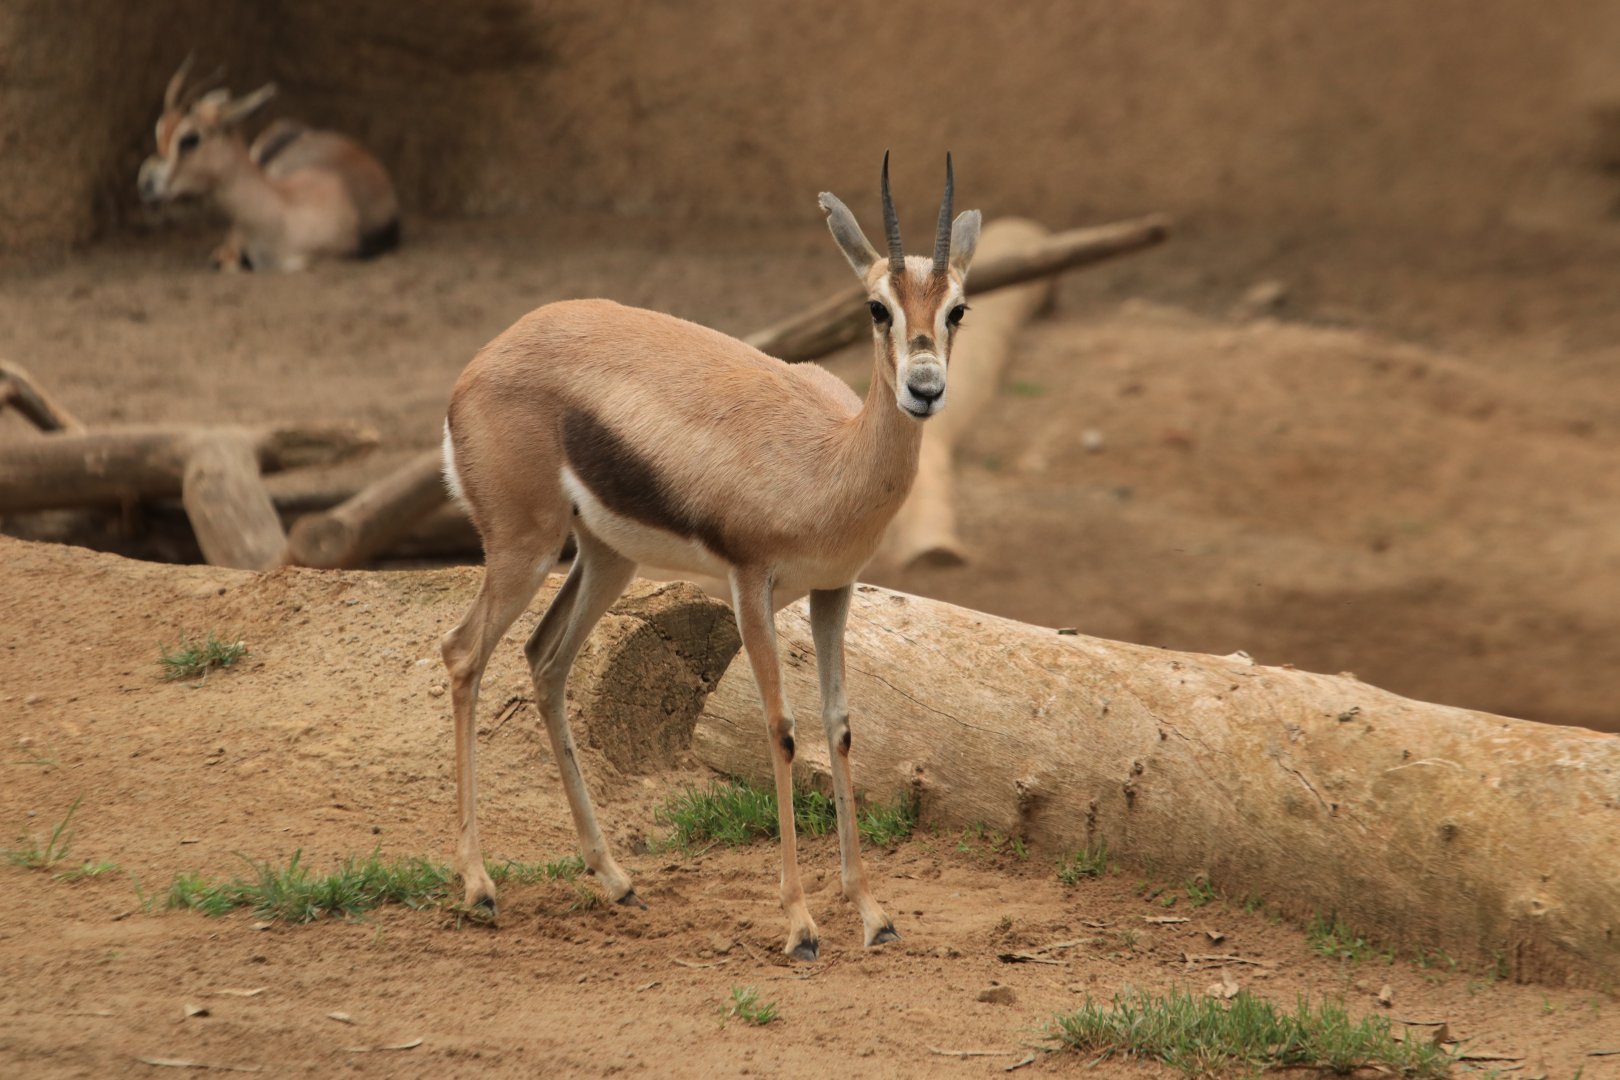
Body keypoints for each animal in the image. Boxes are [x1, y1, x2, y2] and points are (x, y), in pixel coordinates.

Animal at [440, 154, 979, 960]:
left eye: (958, 309)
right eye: (878, 307)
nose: (924, 389)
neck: (828, 460)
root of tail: (479, 364)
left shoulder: (834, 590)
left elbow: (841, 726)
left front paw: (872, 913)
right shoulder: (750, 584)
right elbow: (782, 729)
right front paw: (800, 925)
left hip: (606, 558)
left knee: (545, 660)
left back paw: (616, 879)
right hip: (523, 548)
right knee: (464, 654)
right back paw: (479, 888)